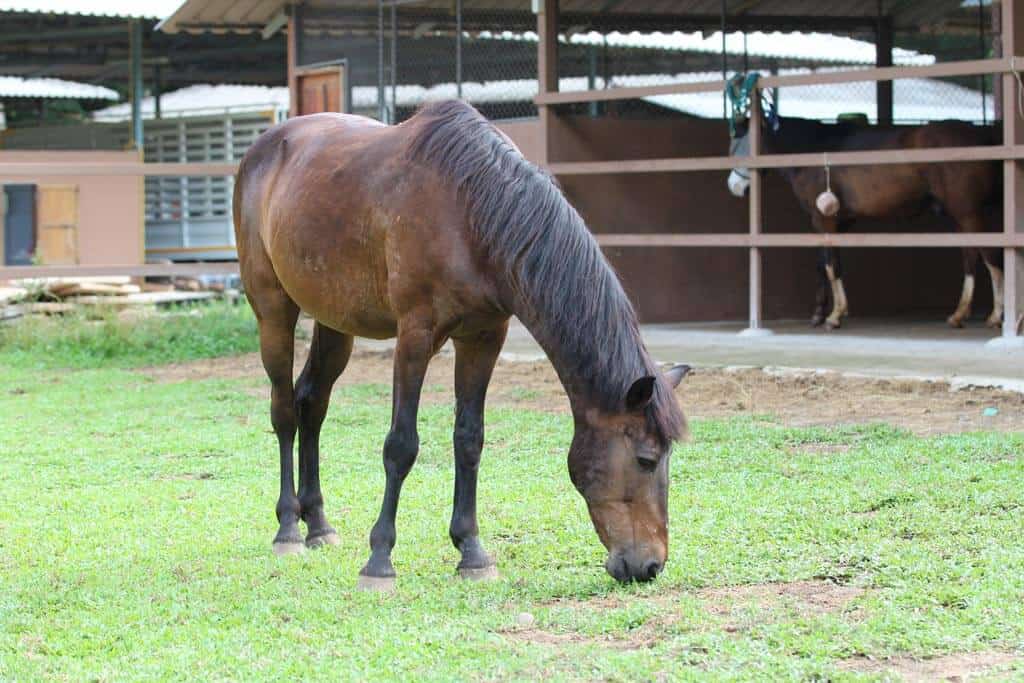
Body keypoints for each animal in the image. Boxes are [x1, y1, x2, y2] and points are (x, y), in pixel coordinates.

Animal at [233, 99, 689, 588]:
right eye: (646, 459)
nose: (649, 565)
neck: (472, 212)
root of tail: (261, 150)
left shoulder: (483, 338)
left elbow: (470, 439)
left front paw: (471, 552)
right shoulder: (415, 337)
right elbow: (401, 445)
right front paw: (379, 560)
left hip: (335, 322)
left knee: (312, 403)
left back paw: (317, 524)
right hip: (273, 311)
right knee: (284, 411)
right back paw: (287, 529)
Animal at [727, 116, 1003, 330]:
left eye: (743, 144)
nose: (734, 187)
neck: (814, 152)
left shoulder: (824, 220)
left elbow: (831, 265)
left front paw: (835, 316)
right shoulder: (837, 223)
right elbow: (823, 264)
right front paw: (819, 314)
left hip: (968, 213)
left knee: (990, 257)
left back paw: (996, 316)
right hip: (960, 216)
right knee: (971, 258)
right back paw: (959, 314)